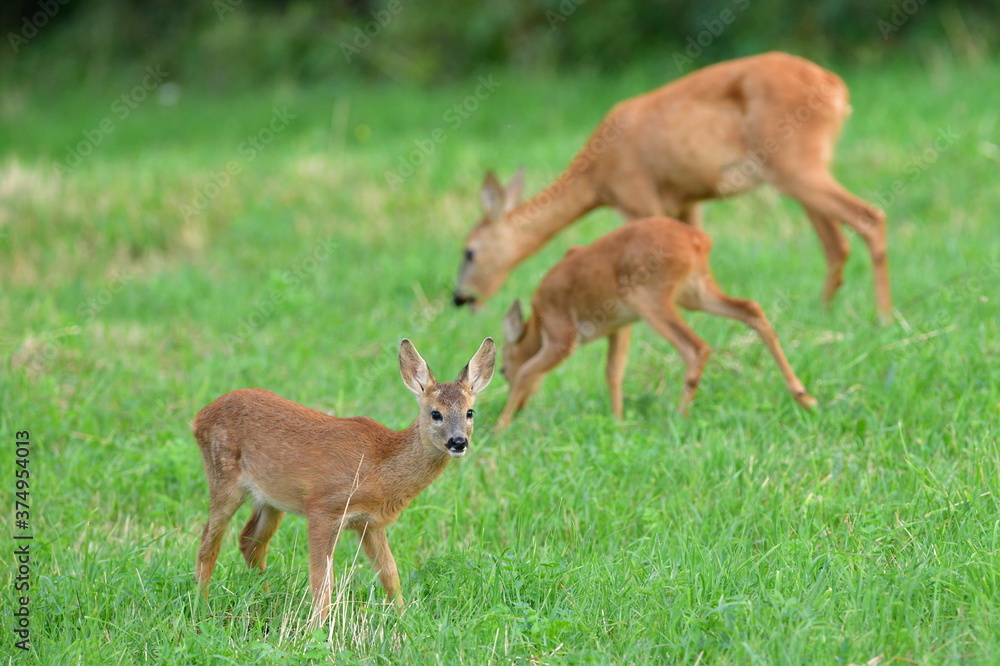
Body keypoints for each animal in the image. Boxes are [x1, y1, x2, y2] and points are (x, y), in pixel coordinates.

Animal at [192, 338, 496, 624]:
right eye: (436, 413)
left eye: (470, 412)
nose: (458, 441)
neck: (380, 466)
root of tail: (198, 417)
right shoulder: (324, 508)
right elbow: (322, 579)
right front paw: (317, 628)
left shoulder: (369, 523)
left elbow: (390, 573)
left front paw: (404, 618)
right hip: (223, 476)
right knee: (209, 542)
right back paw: (202, 606)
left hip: (271, 499)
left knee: (250, 542)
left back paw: (265, 601)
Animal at [456, 51, 892, 320]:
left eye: (470, 252)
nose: (460, 299)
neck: (595, 175)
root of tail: (837, 88)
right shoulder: (686, 201)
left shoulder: (636, 197)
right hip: (802, 169)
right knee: (836, 242)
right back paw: (825, 312)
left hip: (794, 164)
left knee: (869, 217)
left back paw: (884, 318)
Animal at [496, 215, 816, 428]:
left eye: (502, 369)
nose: (519, 405)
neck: (537, 321)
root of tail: (698, 240)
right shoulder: (619, 327)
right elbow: (613, 372)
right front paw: (618, 421)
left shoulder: (562, 336)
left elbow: (526, 371)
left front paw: (500, 428)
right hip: (694, 293)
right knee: (752, 309)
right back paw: (804, 396)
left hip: (649, 299)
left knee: (696, 347)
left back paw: (679, 418)